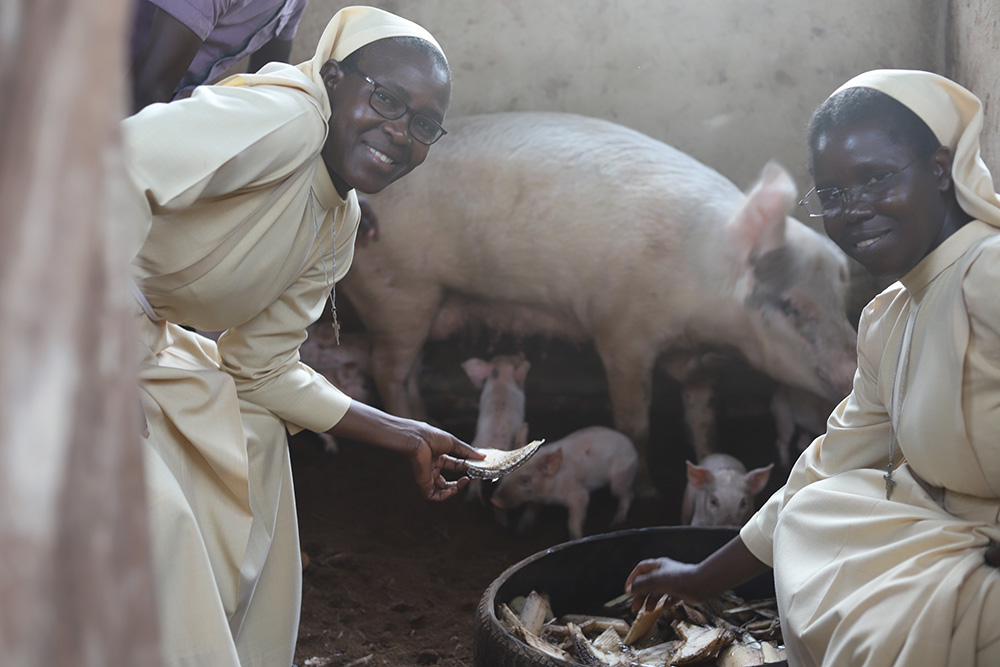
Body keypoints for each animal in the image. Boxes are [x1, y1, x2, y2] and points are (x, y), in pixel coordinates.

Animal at [340, 113, 856, 490]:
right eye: (792, 306)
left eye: (841, 297)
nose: (853, 367)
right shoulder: (622, 334)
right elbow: (634, 422)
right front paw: (648, 490)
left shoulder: (702, 362)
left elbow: (704, 416)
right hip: (400, 292)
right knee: (387, 367)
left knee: (407, 371)